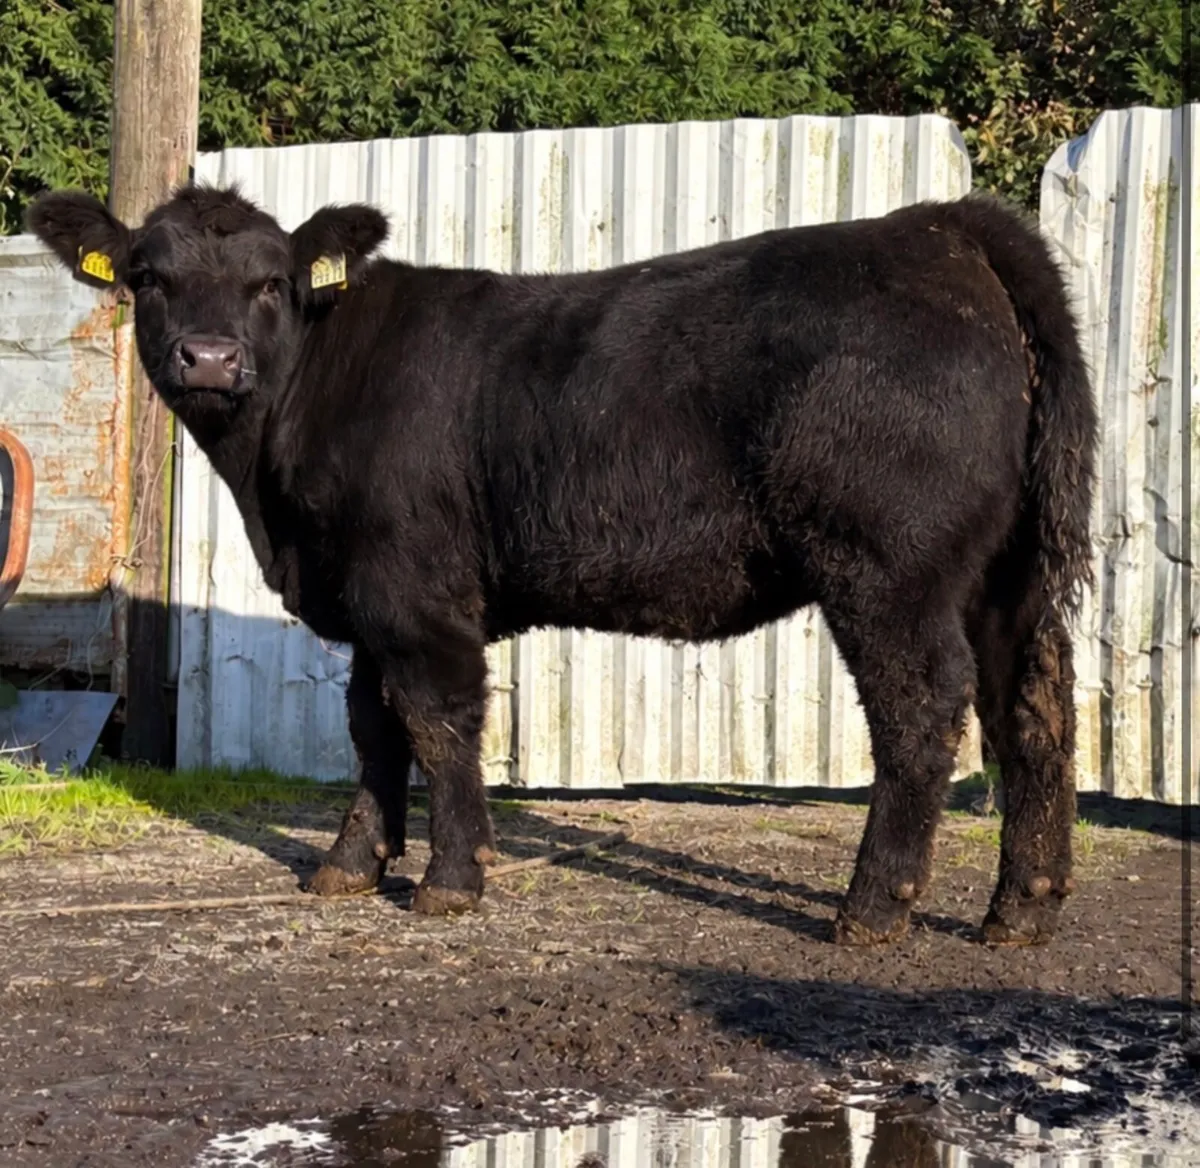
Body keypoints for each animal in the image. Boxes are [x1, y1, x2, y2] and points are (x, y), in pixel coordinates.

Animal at [27, 181, 1096, 946]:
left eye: (270, 285)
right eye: (148, 276)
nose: (208, 358)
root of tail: (943, 228)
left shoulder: (415, 591)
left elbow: (437, 724)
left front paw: (451, 881)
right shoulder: (368, 597)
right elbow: (372, 730)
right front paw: (350, 867)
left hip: (887, 564)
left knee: (922, 710)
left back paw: (872, 910)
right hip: (1006, 575)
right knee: (1033, 705)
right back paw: (1022, 911)